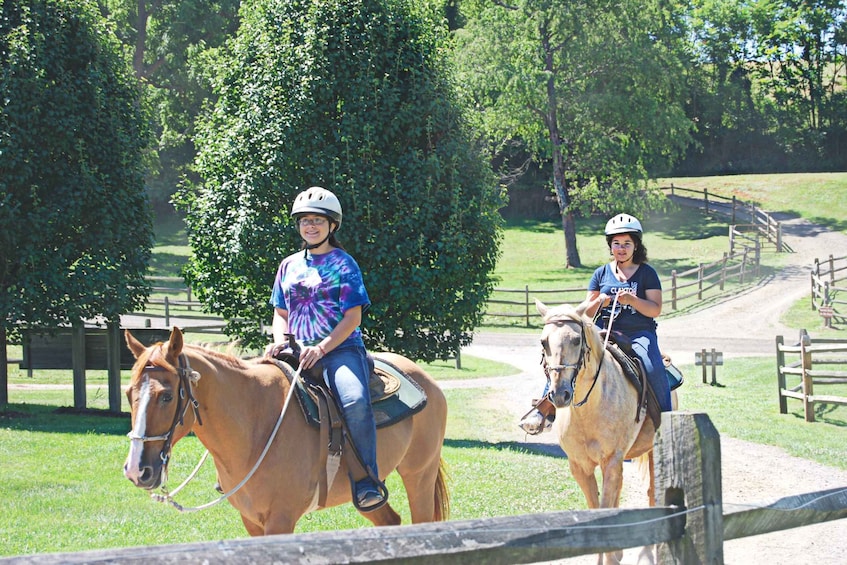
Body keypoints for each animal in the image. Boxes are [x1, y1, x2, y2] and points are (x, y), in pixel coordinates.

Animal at [122, 326, 450, 532]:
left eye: (166, 396)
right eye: (128, 393)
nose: (138, 470)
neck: (256, 422)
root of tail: (427, 382)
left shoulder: (280, 520)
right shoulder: (251, 521)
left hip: (419, 475)